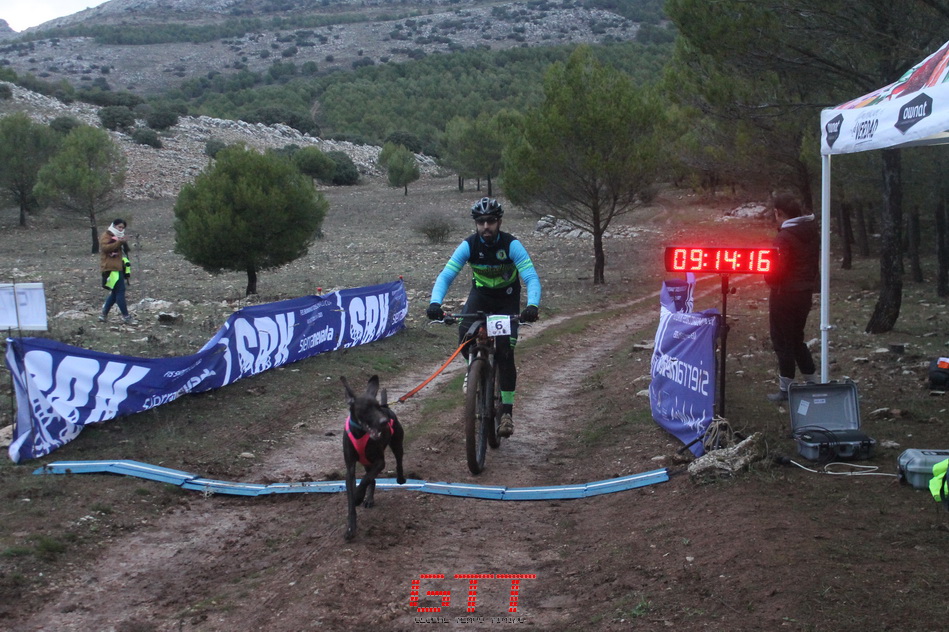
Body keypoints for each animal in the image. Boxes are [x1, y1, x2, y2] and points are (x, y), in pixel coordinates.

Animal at [341, 375, 406, 541]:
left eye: (377, 407)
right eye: (365, 408)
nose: (384, 422)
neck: (360, 433)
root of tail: (387, 406)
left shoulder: (380, 462)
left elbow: (364, 480)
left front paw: (358, 496)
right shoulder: (350, 468)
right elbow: (352, 496)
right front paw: (350, 528)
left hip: (396, 444)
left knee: (399, 461)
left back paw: (400, 478)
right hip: (367, 461)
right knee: (372, 478)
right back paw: (369, 499)